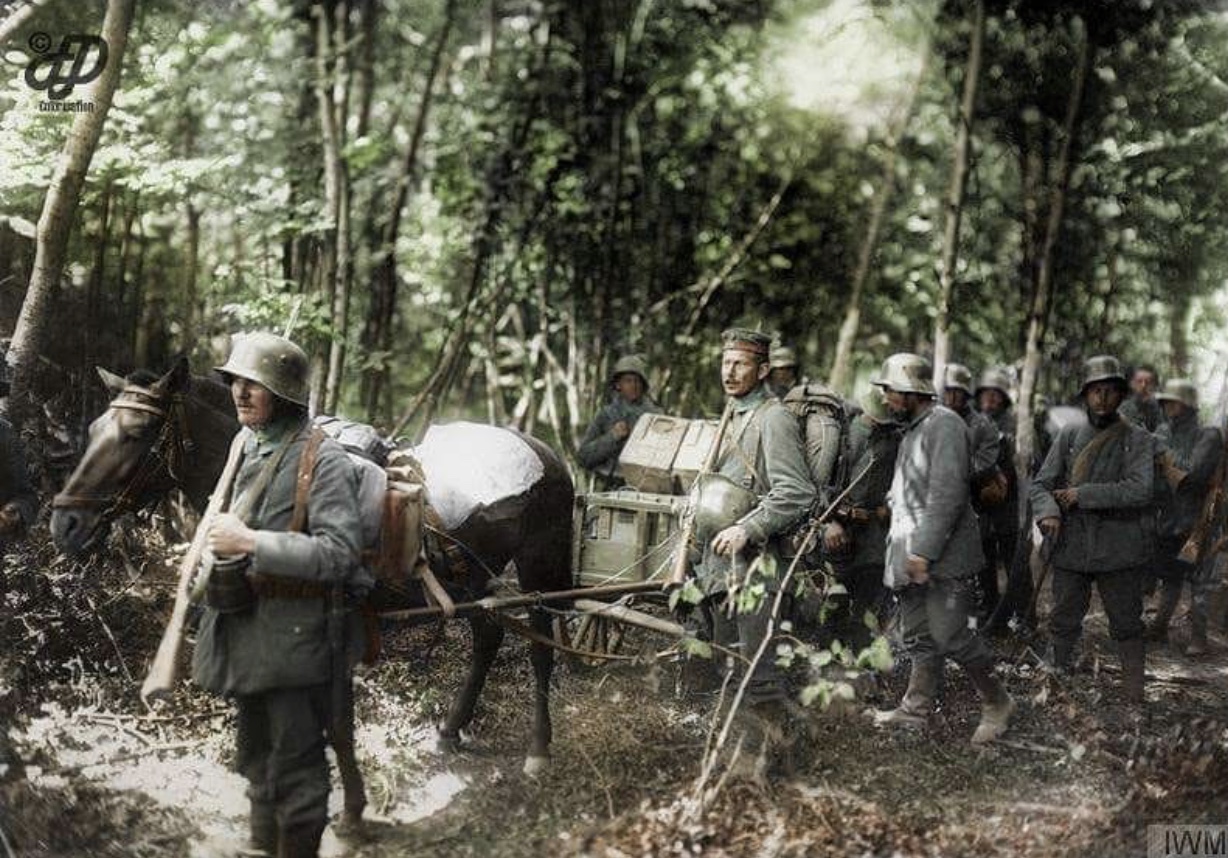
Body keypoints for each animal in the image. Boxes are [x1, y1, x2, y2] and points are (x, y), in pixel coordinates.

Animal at [50, 358, 577, 819]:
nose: (65, 523)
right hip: (472, 580)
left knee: (540, 646)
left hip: (538, 570)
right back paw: (450, 730)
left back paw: (538, 749)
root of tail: (549, 455)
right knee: (489, 636)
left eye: (137, 434)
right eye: (94, 431)